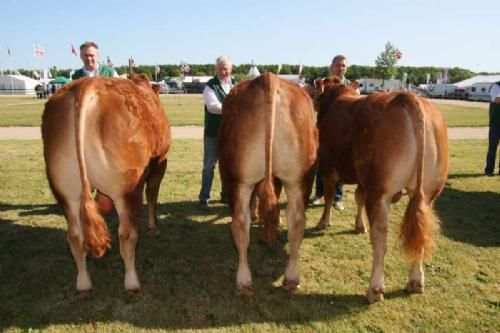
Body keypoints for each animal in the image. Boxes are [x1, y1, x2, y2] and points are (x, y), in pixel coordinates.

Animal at [41, 74, 170, 294]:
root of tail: (87, 84)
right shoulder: (160, 162)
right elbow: (153, 194)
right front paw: (154, 228)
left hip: (65, 190)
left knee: (75, 237)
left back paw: (84, 284)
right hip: (127, 189)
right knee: (127, 235)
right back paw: (132, 282)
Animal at [221, 72, 318, 294]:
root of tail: (268, 77)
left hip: (236, 178)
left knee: (240, 223)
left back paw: (243, 281)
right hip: (299, 178)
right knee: (297, 221)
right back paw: (291, 278)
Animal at [316, 81, 450, 302]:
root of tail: (408, 97)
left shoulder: (327, 164)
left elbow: (329, 195)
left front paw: (323, 222)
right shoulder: (362, 179)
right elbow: (358, 198)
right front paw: (359, 225)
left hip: (379, 193)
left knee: (380, 239)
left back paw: (375, 289)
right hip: (429, 193)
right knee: (422, 233)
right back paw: (416, 282)